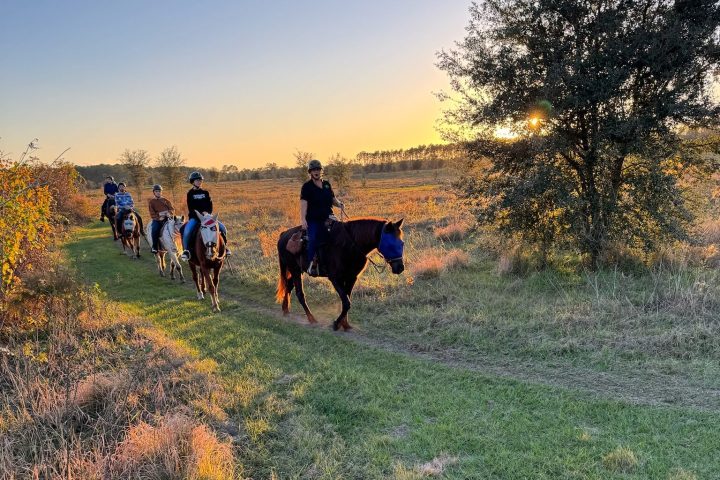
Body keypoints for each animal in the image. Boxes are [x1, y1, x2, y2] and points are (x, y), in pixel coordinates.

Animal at [276, 218, 404, 330]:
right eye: (390, 243)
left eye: (402, 243)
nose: (400, 268)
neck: (349, 246)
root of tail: (283, 235)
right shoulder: (335, 278)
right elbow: (346, 302)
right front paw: (336, 324)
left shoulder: (351, 278)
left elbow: (346, 300)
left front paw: (345, 324)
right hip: (295, 270)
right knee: (299, 294)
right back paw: (311, 319)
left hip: (297, 270)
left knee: (288, 286)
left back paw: (285, 310)